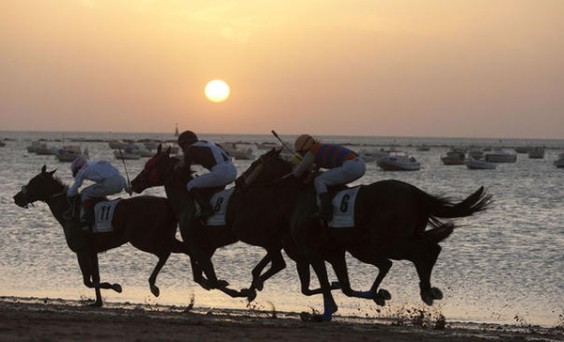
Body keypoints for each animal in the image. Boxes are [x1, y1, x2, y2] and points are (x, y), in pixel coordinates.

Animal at [12, 164, 189, 306]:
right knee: (185, 250)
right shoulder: (92, 251)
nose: (16, 197)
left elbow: (88, 281)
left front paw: (116, 287)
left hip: (143, 239)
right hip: (163, 237)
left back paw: (153, 285)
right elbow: (95, 278)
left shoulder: (82, 251)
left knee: (165, 253)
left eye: (33, 182)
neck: (69, 211)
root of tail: (167, 203)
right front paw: (98, 302)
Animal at [242, 148, 494, 322]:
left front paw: (325, 313)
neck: (300, 196)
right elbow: (343, 285)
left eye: (255, 163)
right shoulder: (335, 252)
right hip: (383, 242)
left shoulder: (312, 250)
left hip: (385, 242)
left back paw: (425, 290)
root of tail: (417, 193)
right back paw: (424, 290)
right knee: (425, 250)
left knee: (421, 252)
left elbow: (324, 282)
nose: (240, 181)